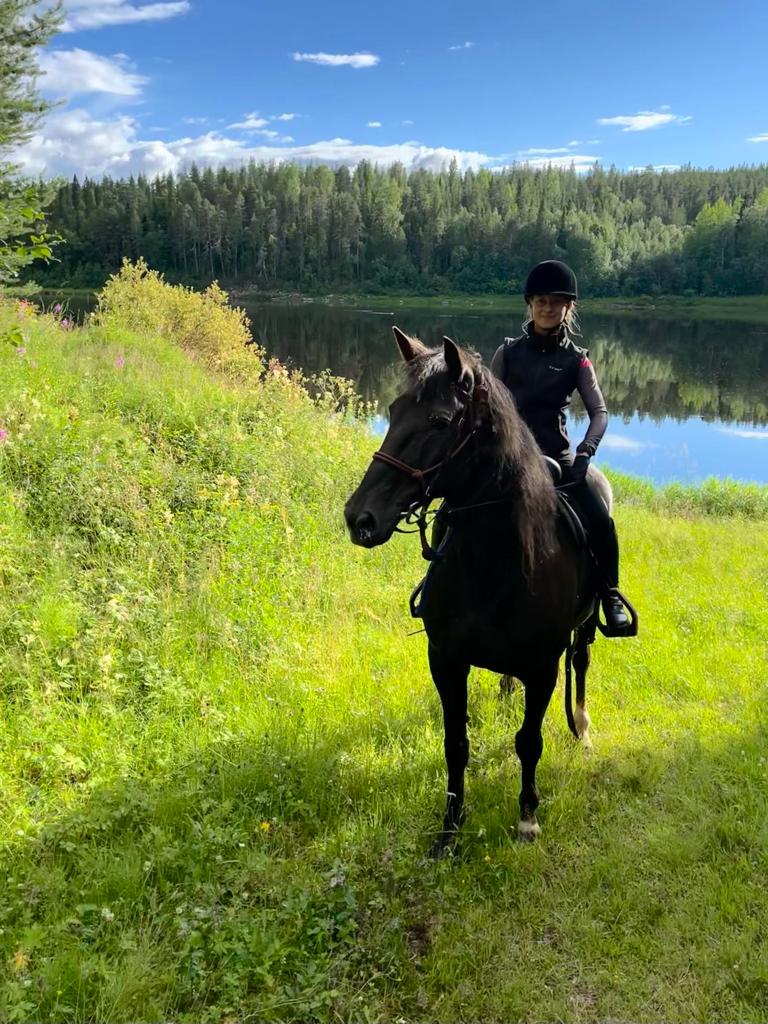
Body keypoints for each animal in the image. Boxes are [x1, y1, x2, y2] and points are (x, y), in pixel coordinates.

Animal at [344, 327, 614, 856]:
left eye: (440, 421)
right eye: (393, 410)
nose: (359, 517)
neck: (494, 564)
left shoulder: (542, 667)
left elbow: (528, 741)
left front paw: (527, 819)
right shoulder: (446, 658)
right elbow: (456, 743)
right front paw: (449, 830)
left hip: (586, 627)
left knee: (582, 664)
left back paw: (583, 727)